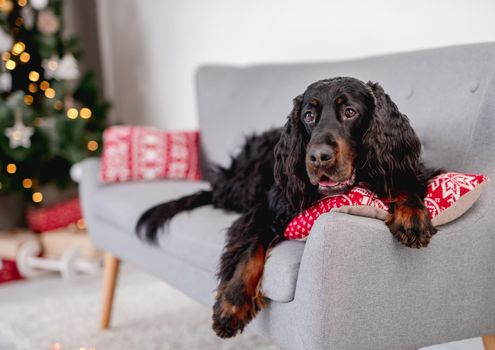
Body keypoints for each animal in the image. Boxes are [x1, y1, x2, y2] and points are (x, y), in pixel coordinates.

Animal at [136, 76, 438, 336]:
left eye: (350, 111)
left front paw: (412, 218)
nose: (318, 157)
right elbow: (250, 251)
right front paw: (232, 306)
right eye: (308, 116)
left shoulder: (401, 165)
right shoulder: (270, 205)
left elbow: (405, 183)